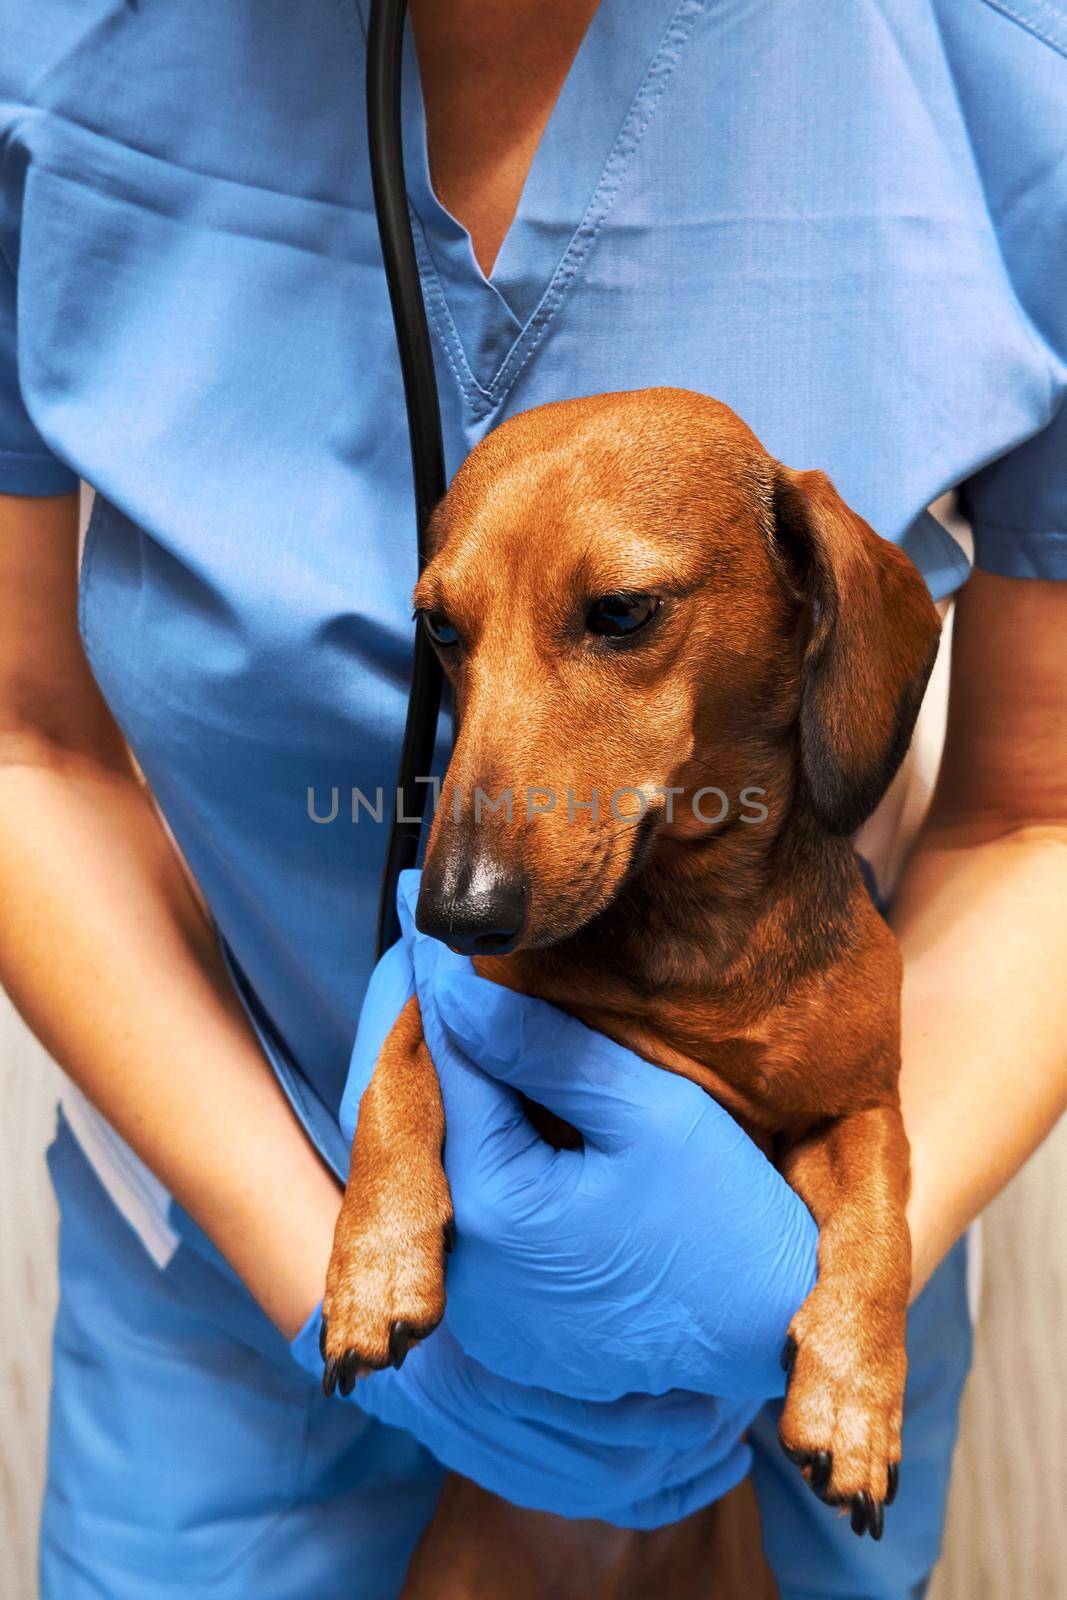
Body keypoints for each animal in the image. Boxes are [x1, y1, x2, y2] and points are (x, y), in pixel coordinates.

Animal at [321, 390, 940, 1600]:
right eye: (440, 629)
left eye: (618, 612)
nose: (453, 910)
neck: (685, 937)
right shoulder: (466, 1004)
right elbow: (399, 1066)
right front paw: (372, 1259)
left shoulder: (857, 1108)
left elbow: (879, 1225)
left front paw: (855, 1398)